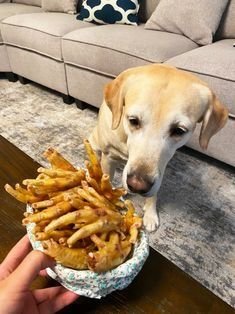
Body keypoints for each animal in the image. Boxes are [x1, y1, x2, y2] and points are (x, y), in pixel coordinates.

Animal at [89, 64, 229, 231]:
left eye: (179, 130)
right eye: (133, 120)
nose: (137, 186)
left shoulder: (160, 168)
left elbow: (153, 193)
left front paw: (150, 214)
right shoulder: (109, 158)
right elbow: (107, 183)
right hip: (94, 144)